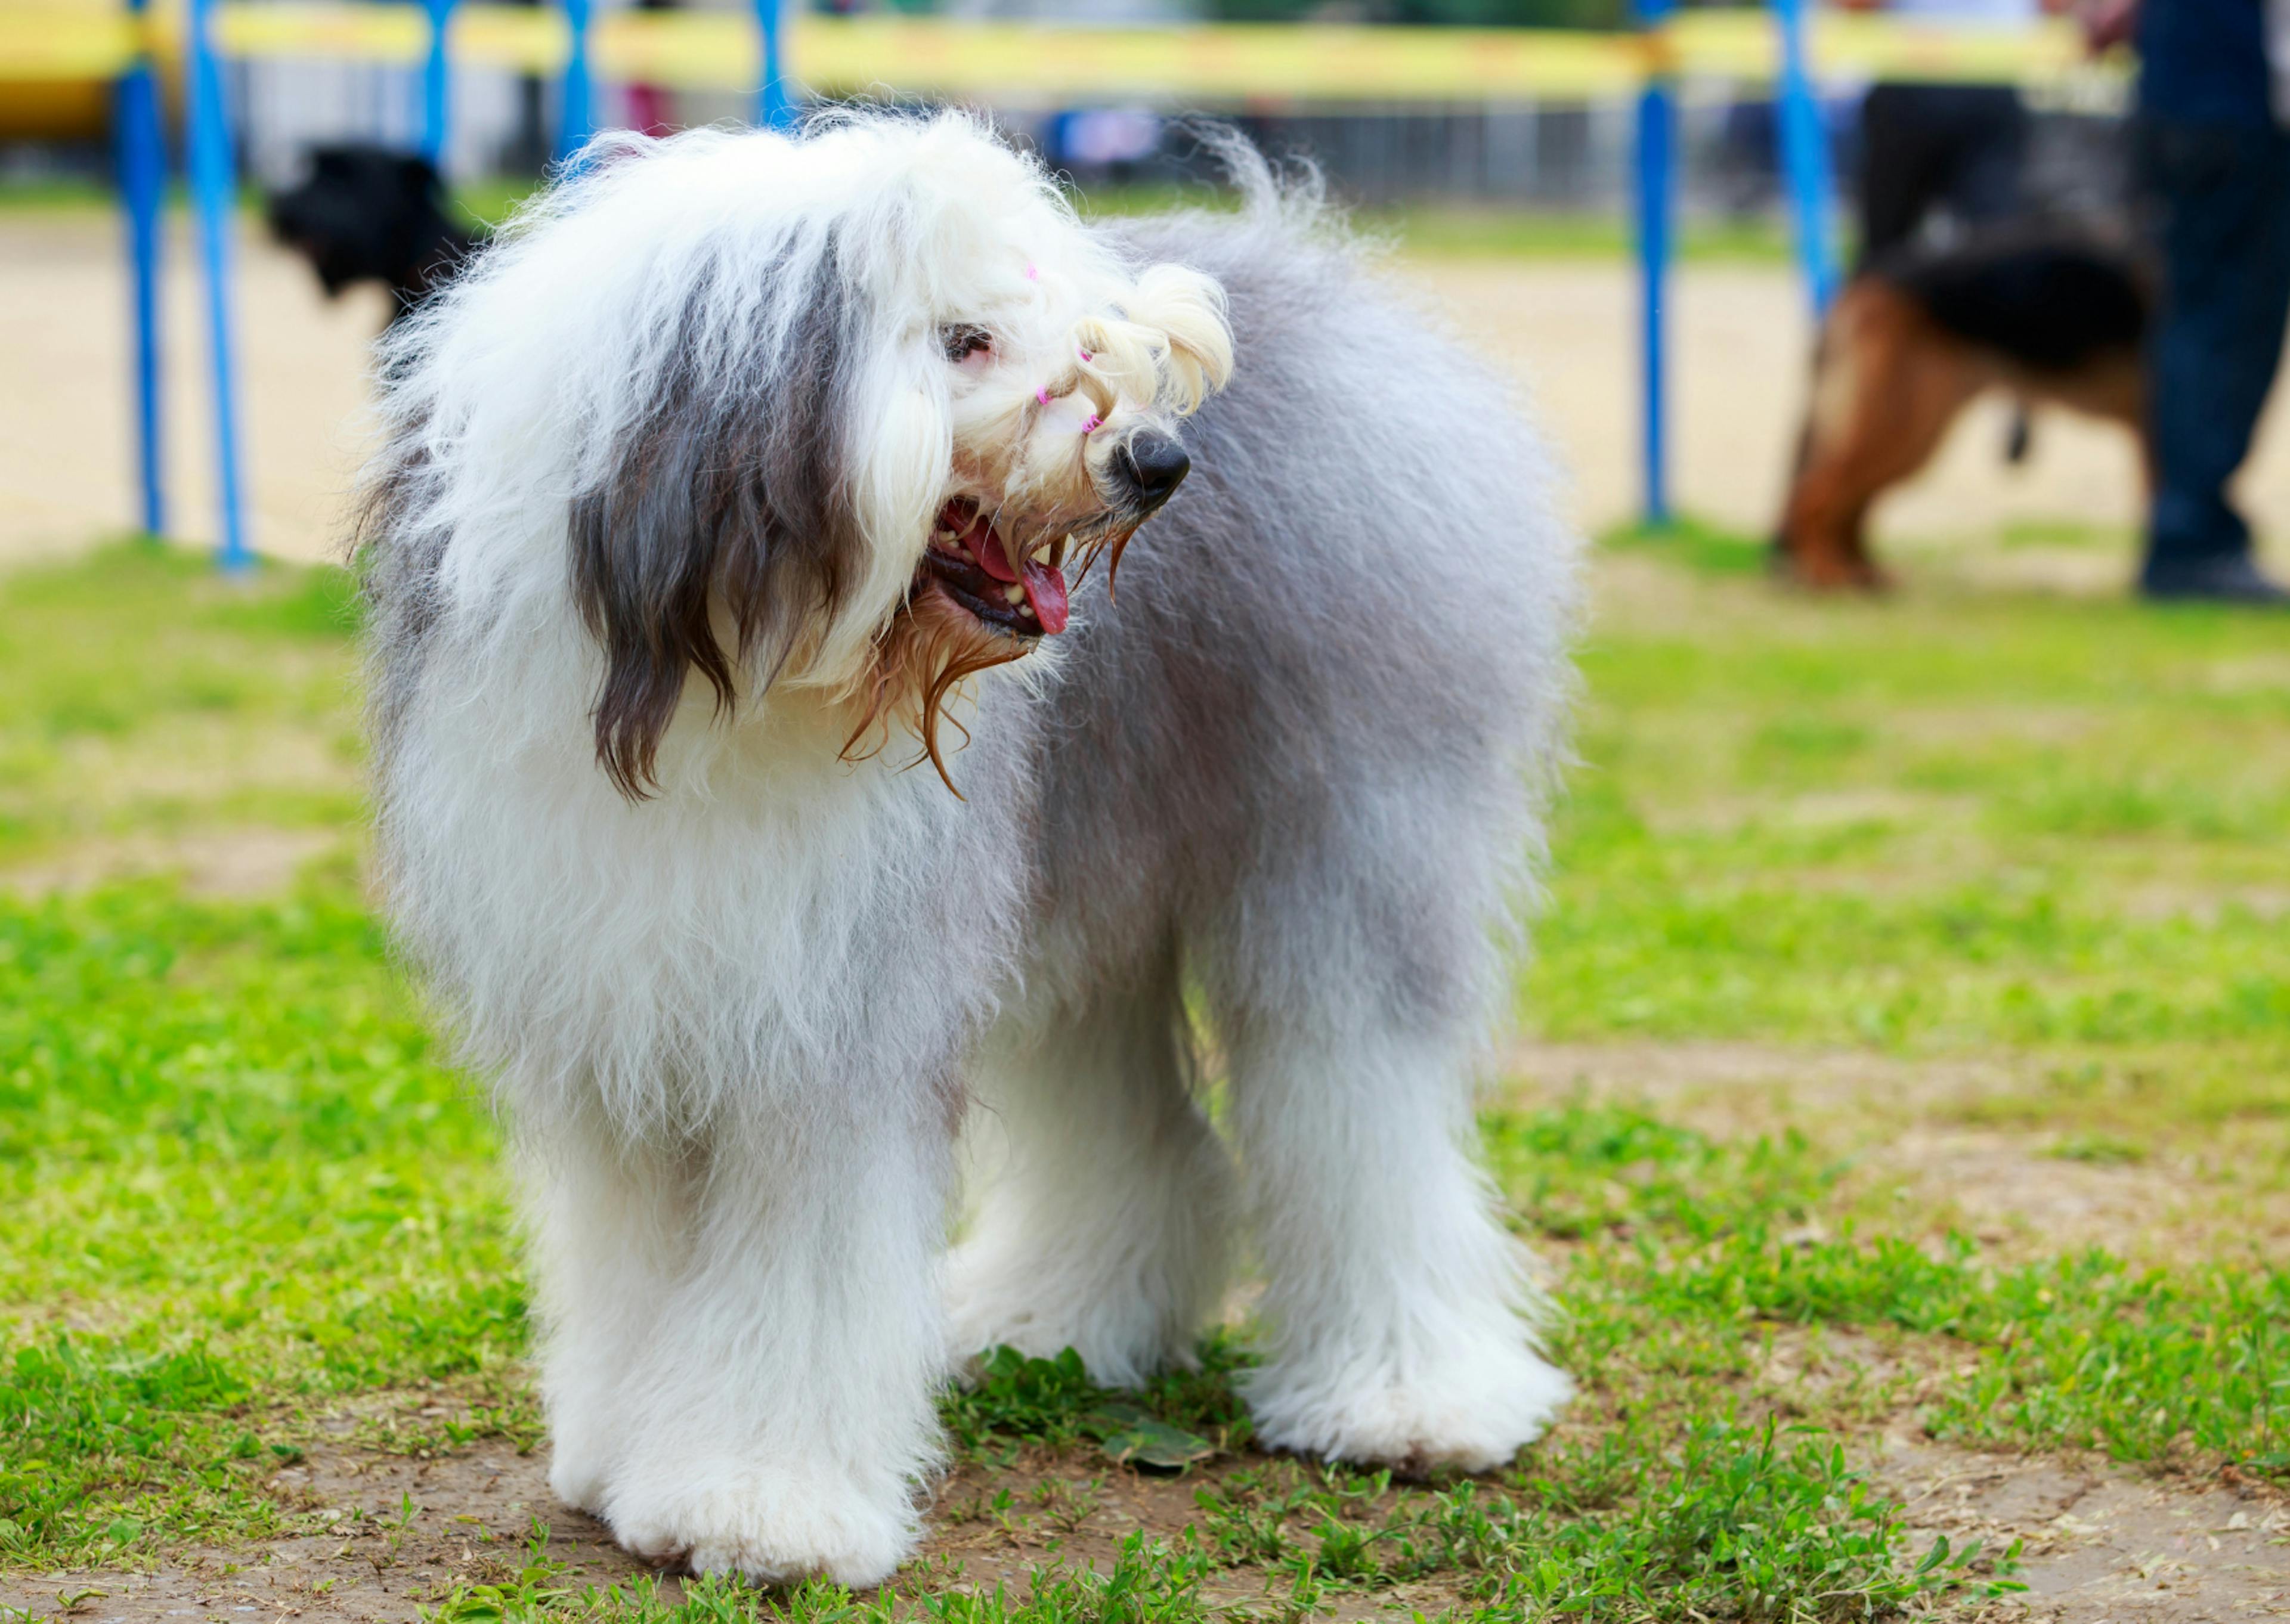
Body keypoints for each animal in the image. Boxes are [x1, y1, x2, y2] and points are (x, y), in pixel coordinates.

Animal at [357, 114, 1585, 1585]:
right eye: (962, 340)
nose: (1157, 462)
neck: (733, 674)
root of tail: (1313, 264)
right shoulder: (626, 1013)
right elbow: (637, 1258)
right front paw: (622, 1455)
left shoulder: (834, 1012)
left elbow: (805, 1260)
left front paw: (761, 1505)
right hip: (1087, 866)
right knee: (1132, 1113)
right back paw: (1063, 1319)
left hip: (1347, 835)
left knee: (1358, 1098)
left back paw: (1411, 1398)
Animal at [1777, 224, 2152, 586]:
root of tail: (1868, 279)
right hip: (1900, 425)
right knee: (1812, 495)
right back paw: (1827, 575)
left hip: (1910, 431)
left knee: (1850, 503)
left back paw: (1860, 572)